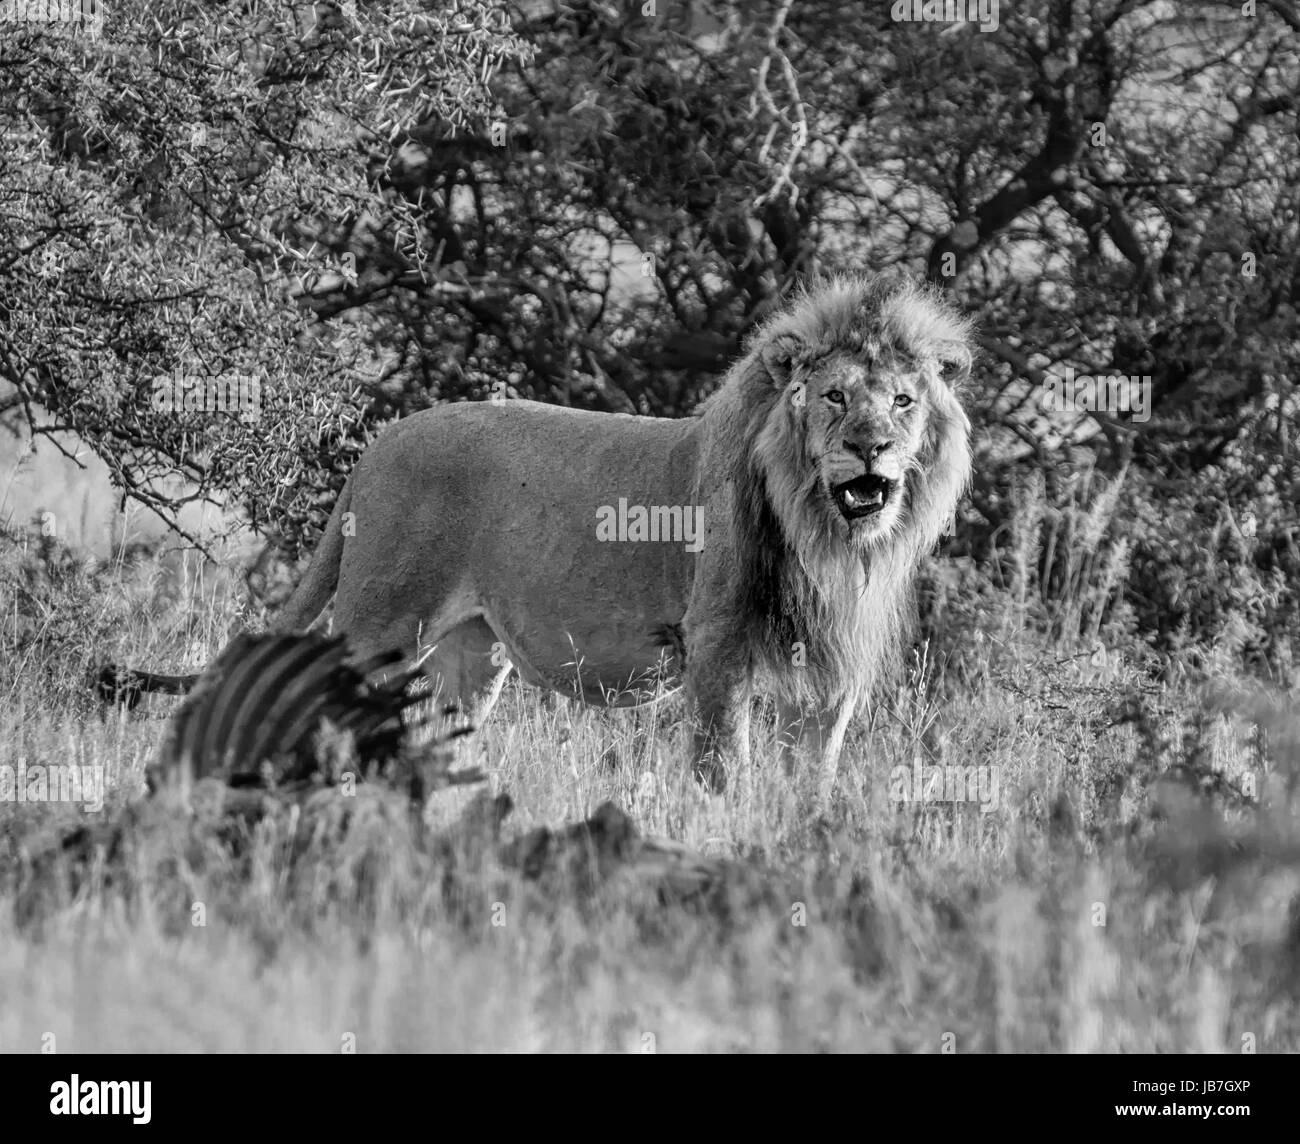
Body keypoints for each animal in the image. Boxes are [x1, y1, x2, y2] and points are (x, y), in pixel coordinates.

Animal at [106, 273, 973, 794]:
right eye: (834, 397)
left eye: (902, 401)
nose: (871, 447)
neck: (827, 535)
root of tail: (377, 443)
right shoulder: (719, 641)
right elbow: (722, 761)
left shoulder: (832, 661)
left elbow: (818, 766)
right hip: (379, 621)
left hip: (469, 653)